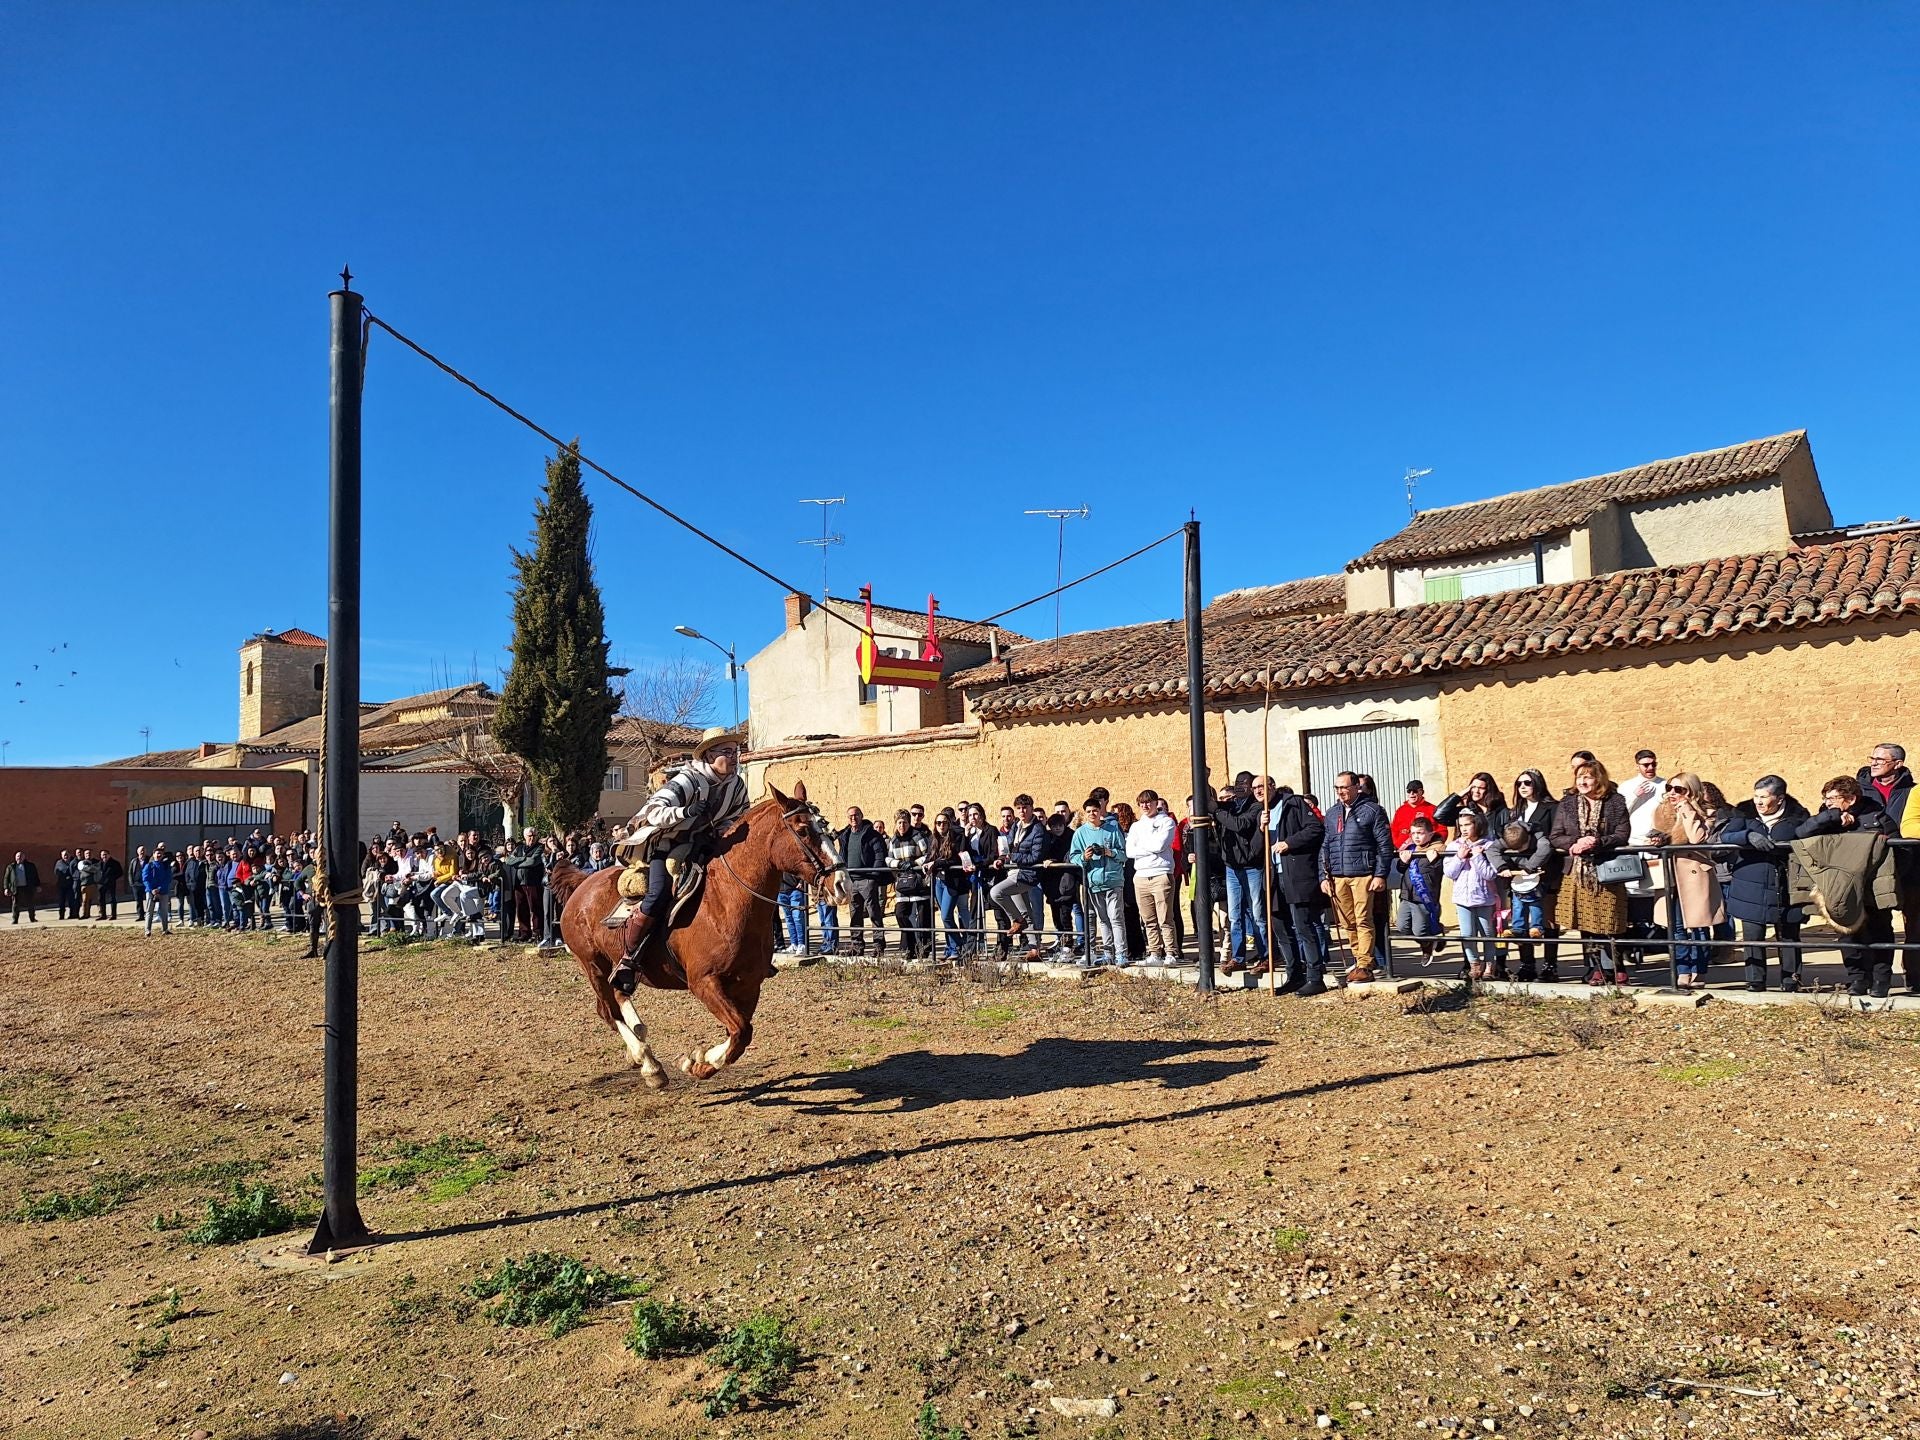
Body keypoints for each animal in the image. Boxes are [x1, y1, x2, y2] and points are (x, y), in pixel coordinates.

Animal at [545, 783, 837, 1090]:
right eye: (803, 830)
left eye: (825, 826)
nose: (841, 882)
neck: (725, 901)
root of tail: (582, 883)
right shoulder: (703, 982)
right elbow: (741, 1031)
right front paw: (698, 1060)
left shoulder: (748, 985)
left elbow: (740, 1034)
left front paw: (698, 1062)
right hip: (593, 965)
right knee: (607, 1010)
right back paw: (648, 1063)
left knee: (619, 996)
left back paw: (639, 1042)